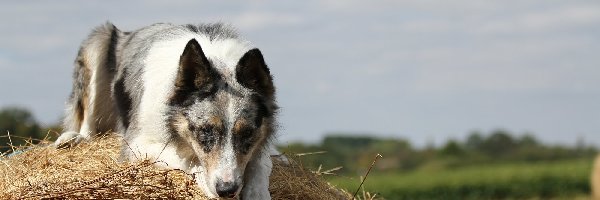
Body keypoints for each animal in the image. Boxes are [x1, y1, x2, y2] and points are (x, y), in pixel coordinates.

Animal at [52, 22, 278, 199]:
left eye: (247, 132)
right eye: (205, 130)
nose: (227, 189)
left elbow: (261, 163)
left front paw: (258, 192)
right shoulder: (136, 145)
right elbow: (185, 158)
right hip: (98, 42)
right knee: (87, 127)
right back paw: (73, 139)